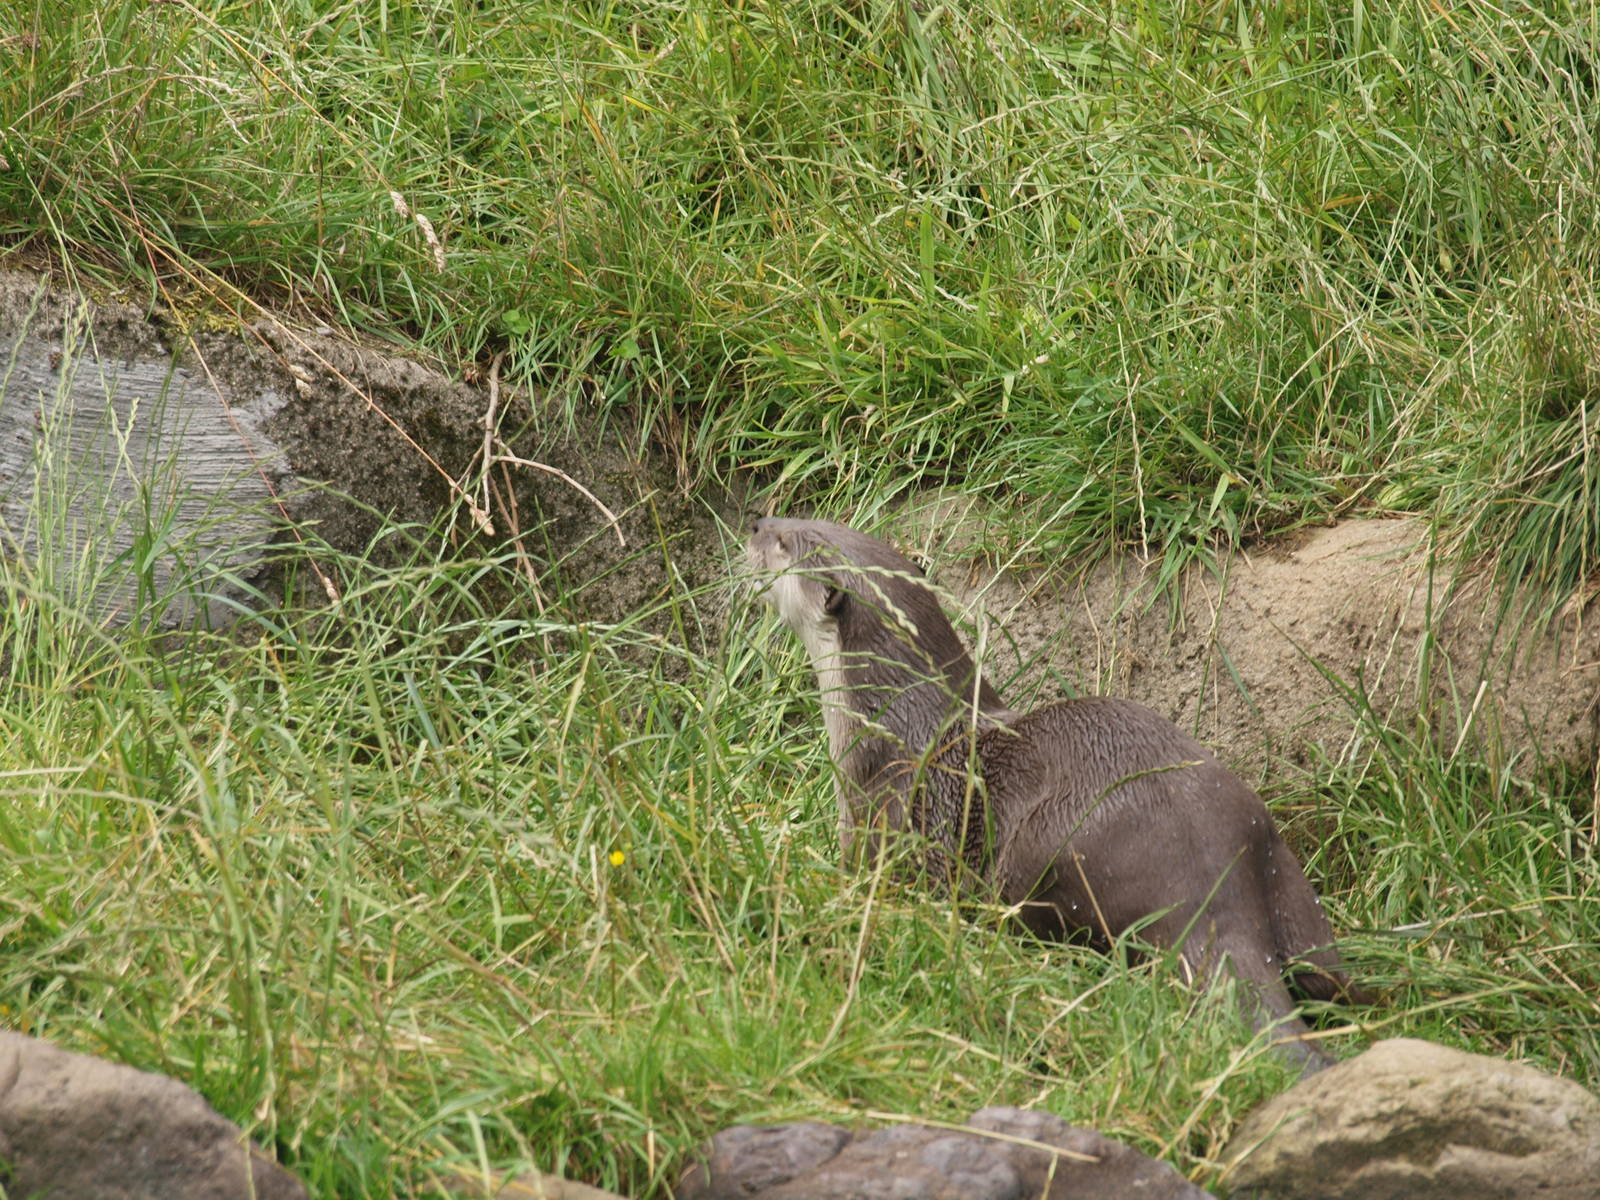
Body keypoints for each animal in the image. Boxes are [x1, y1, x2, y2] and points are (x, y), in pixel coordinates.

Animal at [748, 516, 1367, 1071]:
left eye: (786, 540)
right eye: (809, 518)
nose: (755, 523)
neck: (888, 718)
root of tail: (1212, 887)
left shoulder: (881, 808)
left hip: (1045, 855)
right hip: (1278, 862)